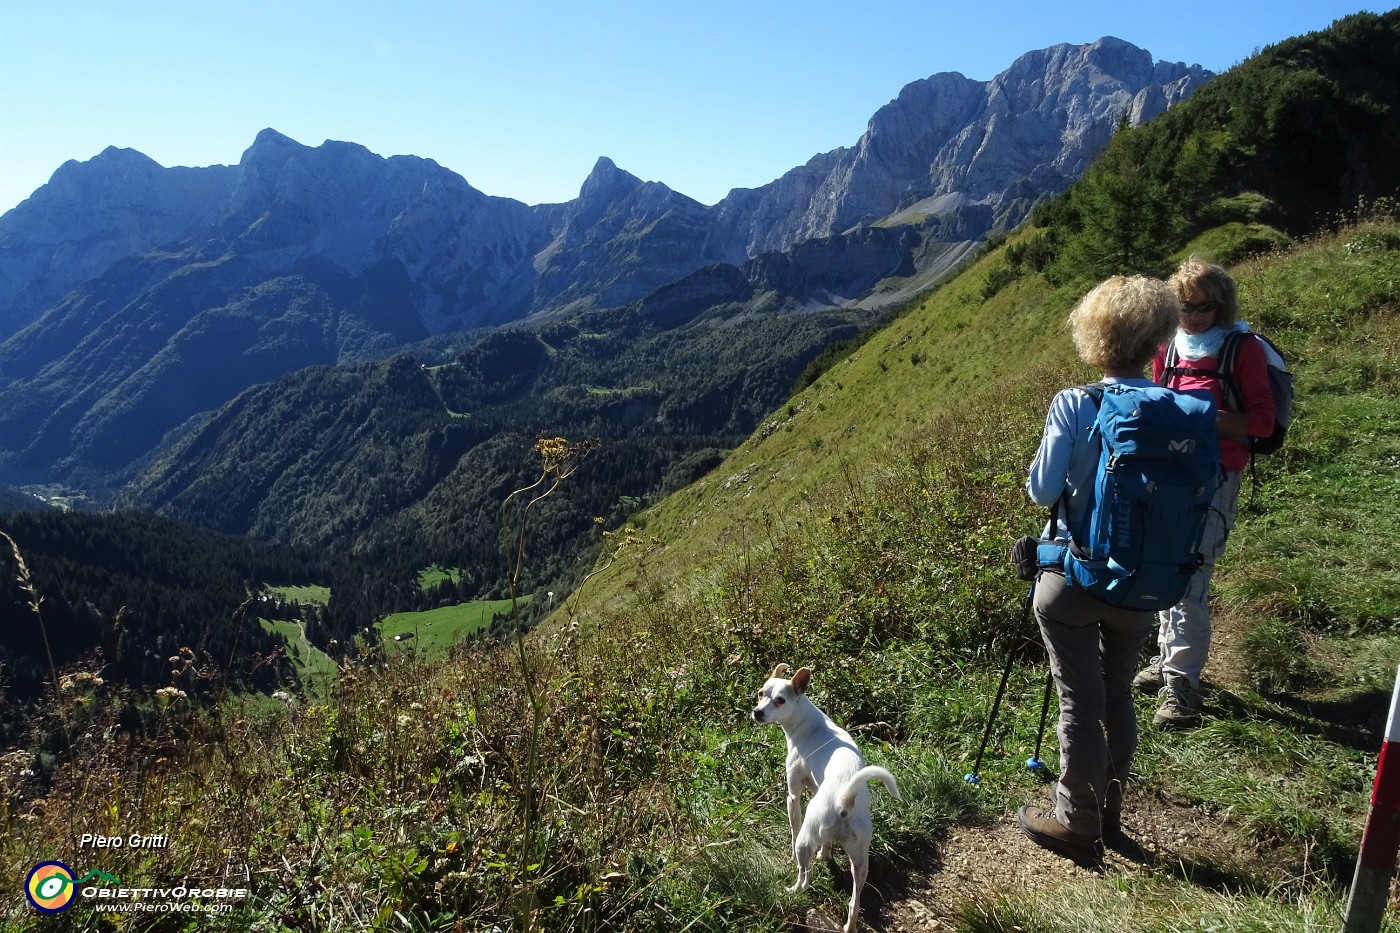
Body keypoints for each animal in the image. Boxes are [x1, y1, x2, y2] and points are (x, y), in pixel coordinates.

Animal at [750, 661, 901, 930]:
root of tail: (845, 800)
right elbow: (827, 845)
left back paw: (792, 890)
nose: (757, 712)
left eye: (780, 700)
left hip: (806, 840)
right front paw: (825, 854)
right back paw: (849, 926)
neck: (806, 723)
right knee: (854, 902)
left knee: (804, 877)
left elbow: (793, 827)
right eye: (760, 693)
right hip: (860, 861)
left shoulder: (793, 796)